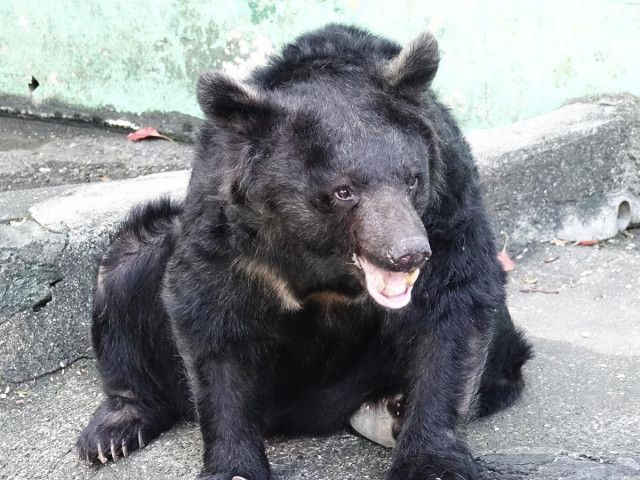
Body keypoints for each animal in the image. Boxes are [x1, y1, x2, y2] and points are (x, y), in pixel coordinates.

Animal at [77, 23, 532, 480]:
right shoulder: (225, 223)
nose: (409, 254)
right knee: (124, 268)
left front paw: (432, 463)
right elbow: (210, 317)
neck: (323, 257)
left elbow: (453, 302)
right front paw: (234, 467)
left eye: (413, 180)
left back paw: (390, 409)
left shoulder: (447, 203)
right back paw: (114, 431)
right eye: (344, 191)